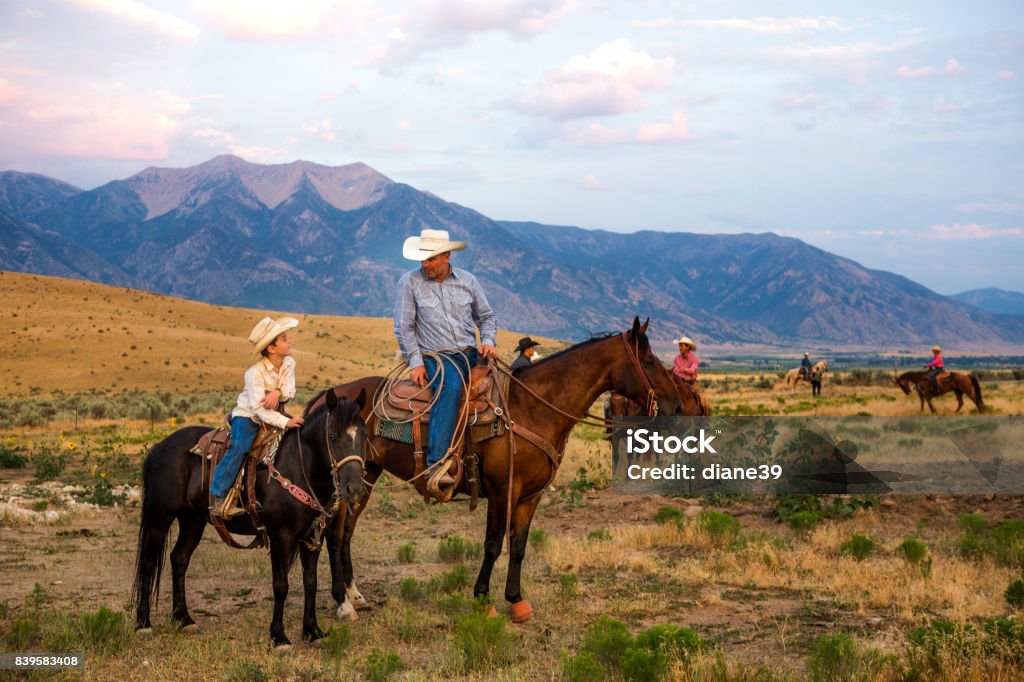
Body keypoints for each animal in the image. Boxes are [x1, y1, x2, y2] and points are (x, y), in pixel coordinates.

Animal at [130, 387, 366, 643]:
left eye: (363, 435)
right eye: (332, 436)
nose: (354, 488)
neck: (299, 468)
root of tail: (158, 448)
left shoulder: (312, 537)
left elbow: (310, 582)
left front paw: (312, 631)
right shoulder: (280, 536)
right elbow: (280, 585)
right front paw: (279, 636)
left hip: (192, 520)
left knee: (179, 559)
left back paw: (184, 619)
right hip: (159, 518)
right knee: (148, 563)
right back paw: (143, 623)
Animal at [313, 315, 679, 618]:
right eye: (649, 361)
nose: (676, 404)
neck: (529, 408)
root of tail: (329, 397)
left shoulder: (531, 495)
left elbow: (518, 545)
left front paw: (516, 600)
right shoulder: (503, 490)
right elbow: (492, 544)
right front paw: (482, 599)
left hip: (366, 476)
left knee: (347, 532)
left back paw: (355, 595)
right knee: (335, 533)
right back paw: (343, 603)